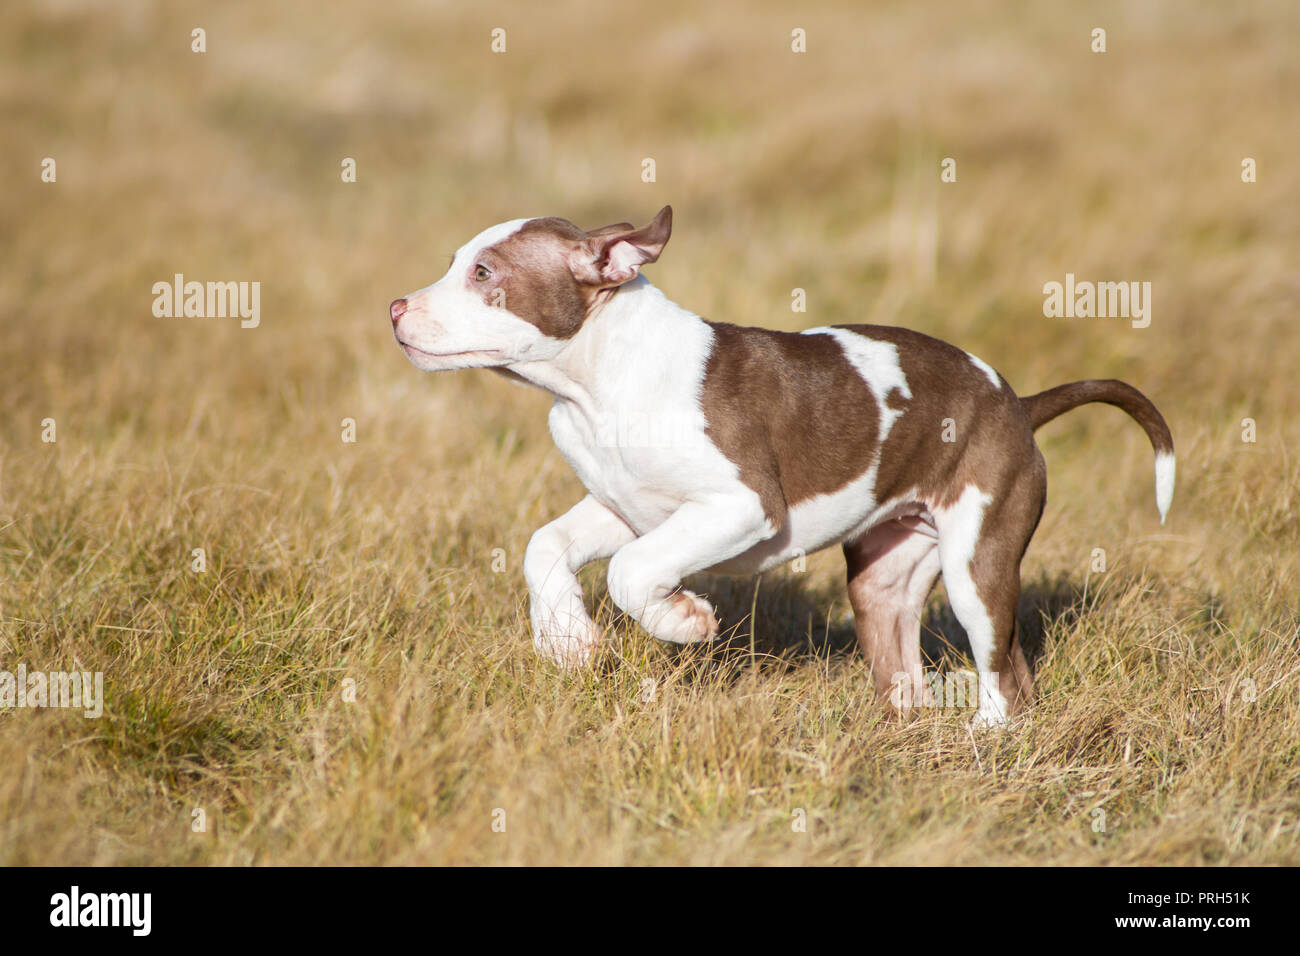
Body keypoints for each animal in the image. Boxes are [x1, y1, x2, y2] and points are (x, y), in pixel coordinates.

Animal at [390, 204, 1175, 723]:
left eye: (483, 272)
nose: (396, 307)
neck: (595, 384)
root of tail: (1017, 401)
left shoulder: (741, 506)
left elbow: (631, 571)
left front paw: (681, 620)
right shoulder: (624, 505)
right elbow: (545, 545)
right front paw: (568, 641)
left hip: (978, 558)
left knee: (1006, 674)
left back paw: (985, 744)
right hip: (886, 575)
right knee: (907, 669)